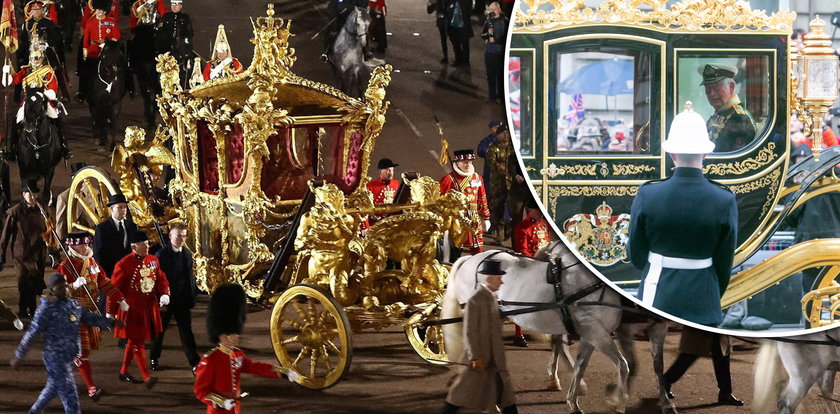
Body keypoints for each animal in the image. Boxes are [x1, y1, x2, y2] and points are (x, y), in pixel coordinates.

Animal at [442, 243, 672, 414]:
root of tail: (469, 259)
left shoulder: (594, 333)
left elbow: (583, 366)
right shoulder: (598, 332)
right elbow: (624, 365)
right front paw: (617, 403)